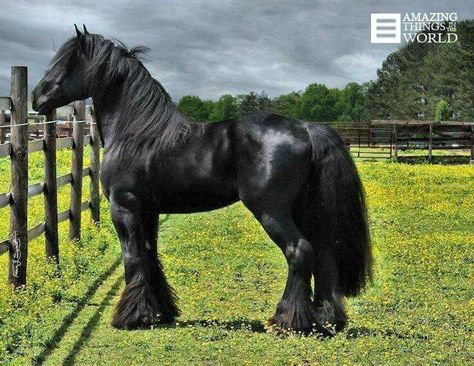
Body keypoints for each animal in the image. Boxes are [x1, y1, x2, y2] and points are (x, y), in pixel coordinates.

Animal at [32, 25, 374, 334]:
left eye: (67, 62)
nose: (37, 97)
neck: (137, 134)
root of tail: (305, 128)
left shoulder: (125, 207)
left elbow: (132, 257)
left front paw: (130, 317)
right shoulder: (148, 210)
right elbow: (149, 255)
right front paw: (160, 312)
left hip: (271, 210)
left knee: (299, 251)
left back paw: (287, 321)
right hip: (303, 209)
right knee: (324, 254)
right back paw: (326, 318)